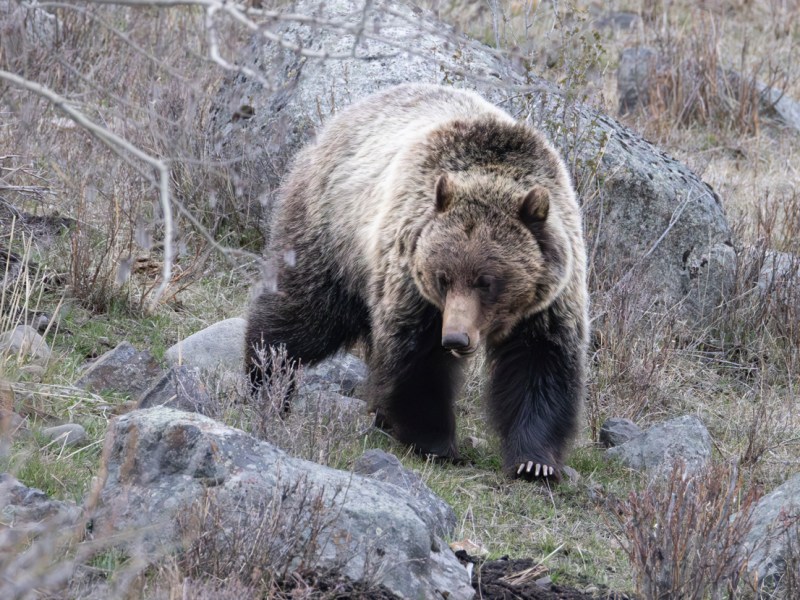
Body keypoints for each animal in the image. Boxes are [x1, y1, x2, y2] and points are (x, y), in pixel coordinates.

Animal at [245, 83, 588, 482]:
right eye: (443, 277)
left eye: (487, 281)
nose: (456, 338)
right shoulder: (413, 281)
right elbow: (418, 361)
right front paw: (435, 442)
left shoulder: (549, 300)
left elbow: (540, 366)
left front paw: (535, 462)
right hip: (332, 235)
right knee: (303, 315)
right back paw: (265, 380)